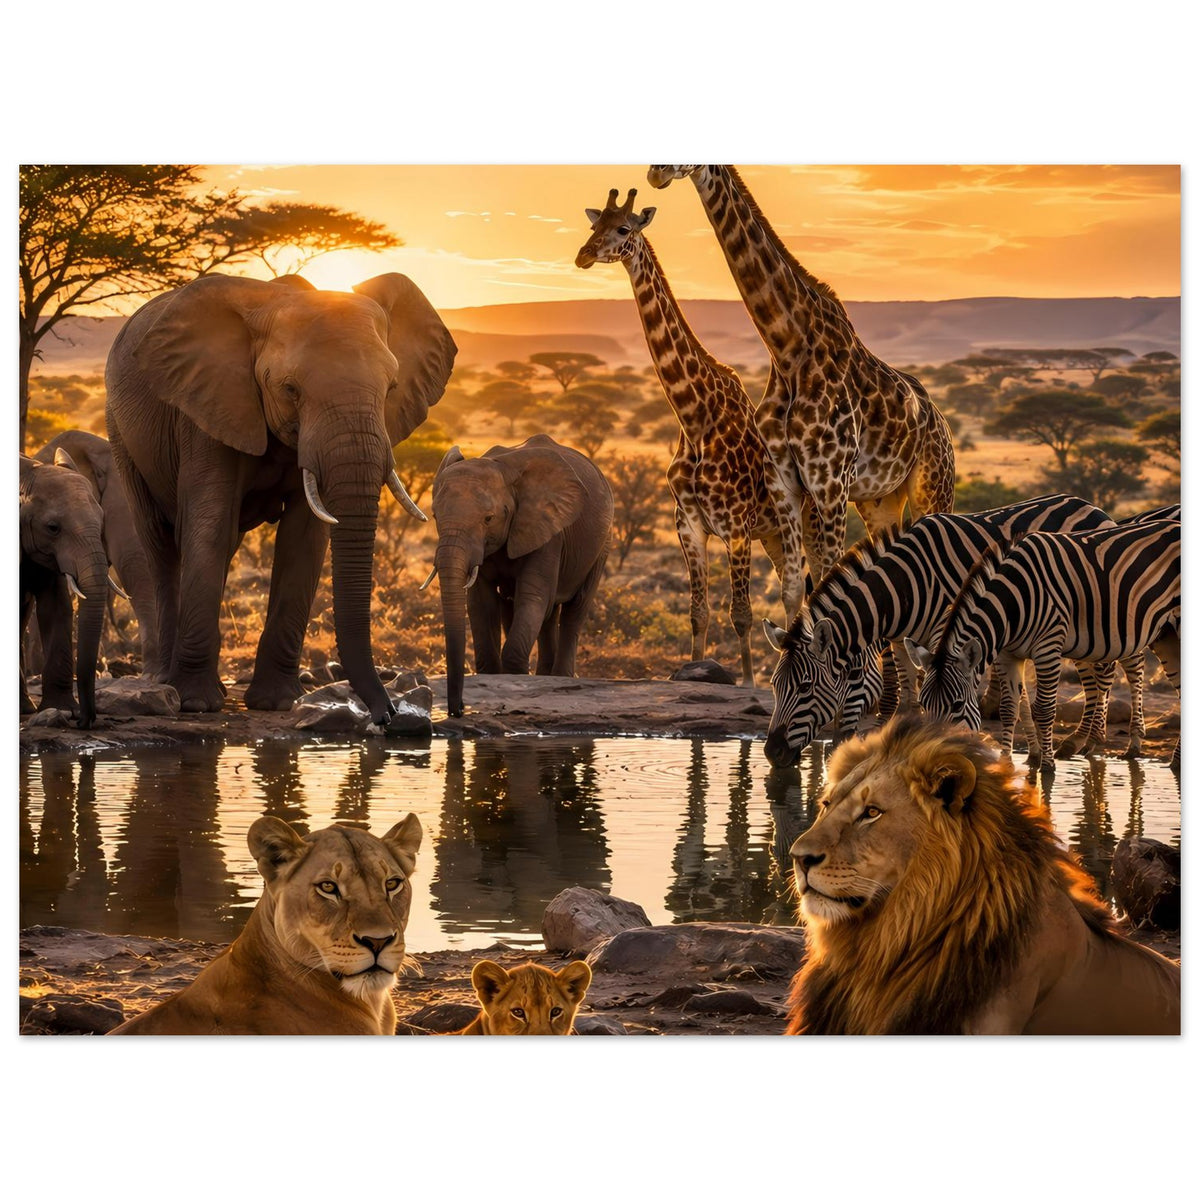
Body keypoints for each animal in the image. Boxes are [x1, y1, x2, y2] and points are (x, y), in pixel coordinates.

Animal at [762, 494, 1112, 767]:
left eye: (805, 687)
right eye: (774, 685)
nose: (772, 753)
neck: (905, 586)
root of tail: (1091, 505)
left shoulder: (948, 633)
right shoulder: (904, 641)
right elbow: (908, 699)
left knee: (1103, 673)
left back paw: (1088, 741)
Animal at [917, 519, 1180, 769]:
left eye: (957, 705)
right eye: (922, 704)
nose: (933, 758)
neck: (1011, 603)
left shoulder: (1048, 648)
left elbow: (1043, 710)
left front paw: (1047, 766)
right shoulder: (1007, 654)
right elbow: (1008, 708)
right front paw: (1006, 765)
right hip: (1164, 635)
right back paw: (1175, 762)